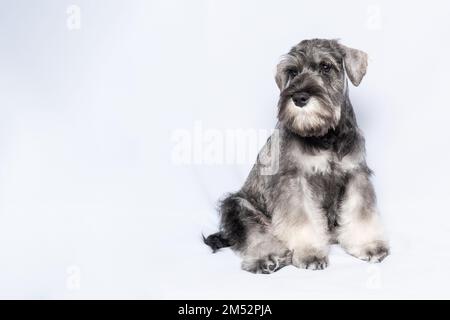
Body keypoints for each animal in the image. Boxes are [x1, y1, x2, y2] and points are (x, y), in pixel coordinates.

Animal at [202, 38, 388, 274]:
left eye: (325, 67)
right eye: (292, 71)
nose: (299, 97)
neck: (325, 135)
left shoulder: (356, 175)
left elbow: (360, 213)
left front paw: (369, 245)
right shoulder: (294, 181)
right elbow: (302, 220)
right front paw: (310, 254)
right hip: (237, 205)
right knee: (255, 234)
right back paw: (268, 257)